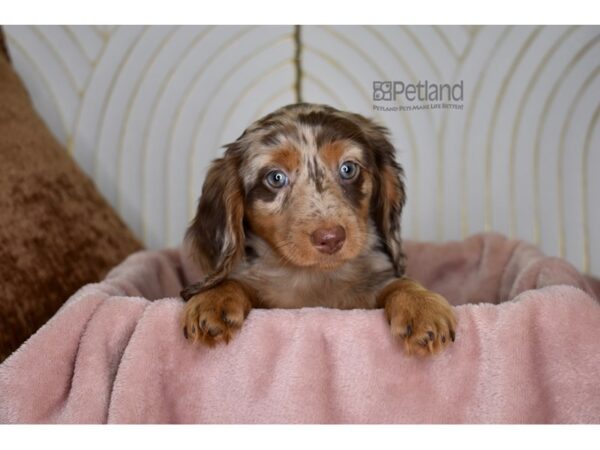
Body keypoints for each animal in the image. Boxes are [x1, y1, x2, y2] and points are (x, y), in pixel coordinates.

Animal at [180, 102, 458, 356]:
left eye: (348, 168)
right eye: (275, 177)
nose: (331, 238)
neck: (313, 278)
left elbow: (399, 283)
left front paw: (422, 307)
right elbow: (233, 282)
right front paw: (213, 299)